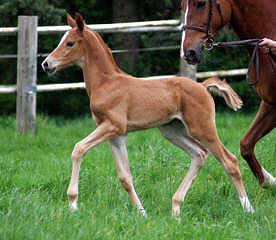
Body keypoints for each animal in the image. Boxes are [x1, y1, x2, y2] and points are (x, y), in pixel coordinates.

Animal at [42, 12, 253, 216]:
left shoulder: (113, 126)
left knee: (229, 161)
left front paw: (73, 204)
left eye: (70, 43)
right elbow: (125, 176)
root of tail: (202, 86)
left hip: (202, 128)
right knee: (200, 154)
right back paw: (176, 208)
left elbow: (78, 149)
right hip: (172, 130)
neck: (106, 83)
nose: (46, 64)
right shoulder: (116, 135)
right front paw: (142, 213)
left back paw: (248, 209)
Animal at [181, 0, 276, 188]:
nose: (188, 53)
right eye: (182, 6)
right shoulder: (271, 104)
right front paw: (269, 181)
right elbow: (246, 144)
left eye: (201, 3)